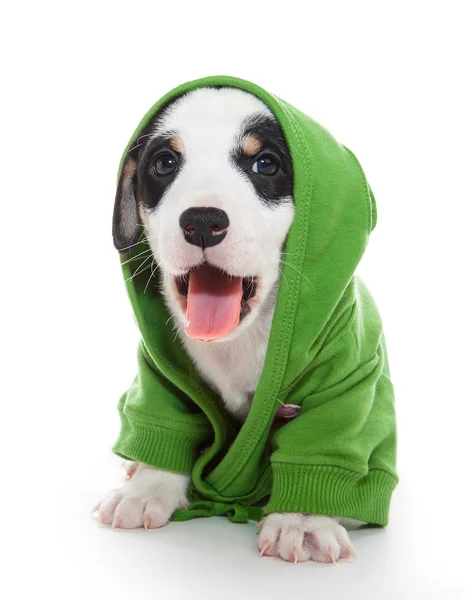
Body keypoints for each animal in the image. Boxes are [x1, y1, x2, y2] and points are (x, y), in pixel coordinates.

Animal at [92, 88, 358, 564]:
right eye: (165, 163)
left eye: (265, 164)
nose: (201, 221)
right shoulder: (159, 371)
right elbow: (166, 417)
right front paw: (148, 488)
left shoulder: (342, 376)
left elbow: (318, 443)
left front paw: (303, 519)